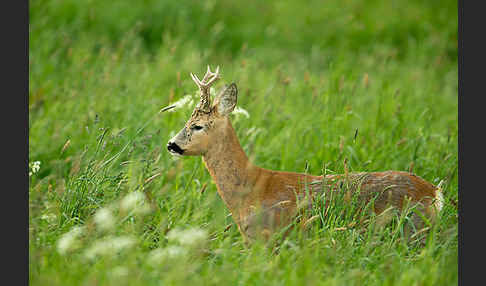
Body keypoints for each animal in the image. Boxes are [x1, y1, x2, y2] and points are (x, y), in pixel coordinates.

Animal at [168, 67, 444, 244]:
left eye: (197, 126)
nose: (171, 144)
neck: (251, 187)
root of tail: (434, 192)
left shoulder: (268, 237)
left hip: (410, 229)